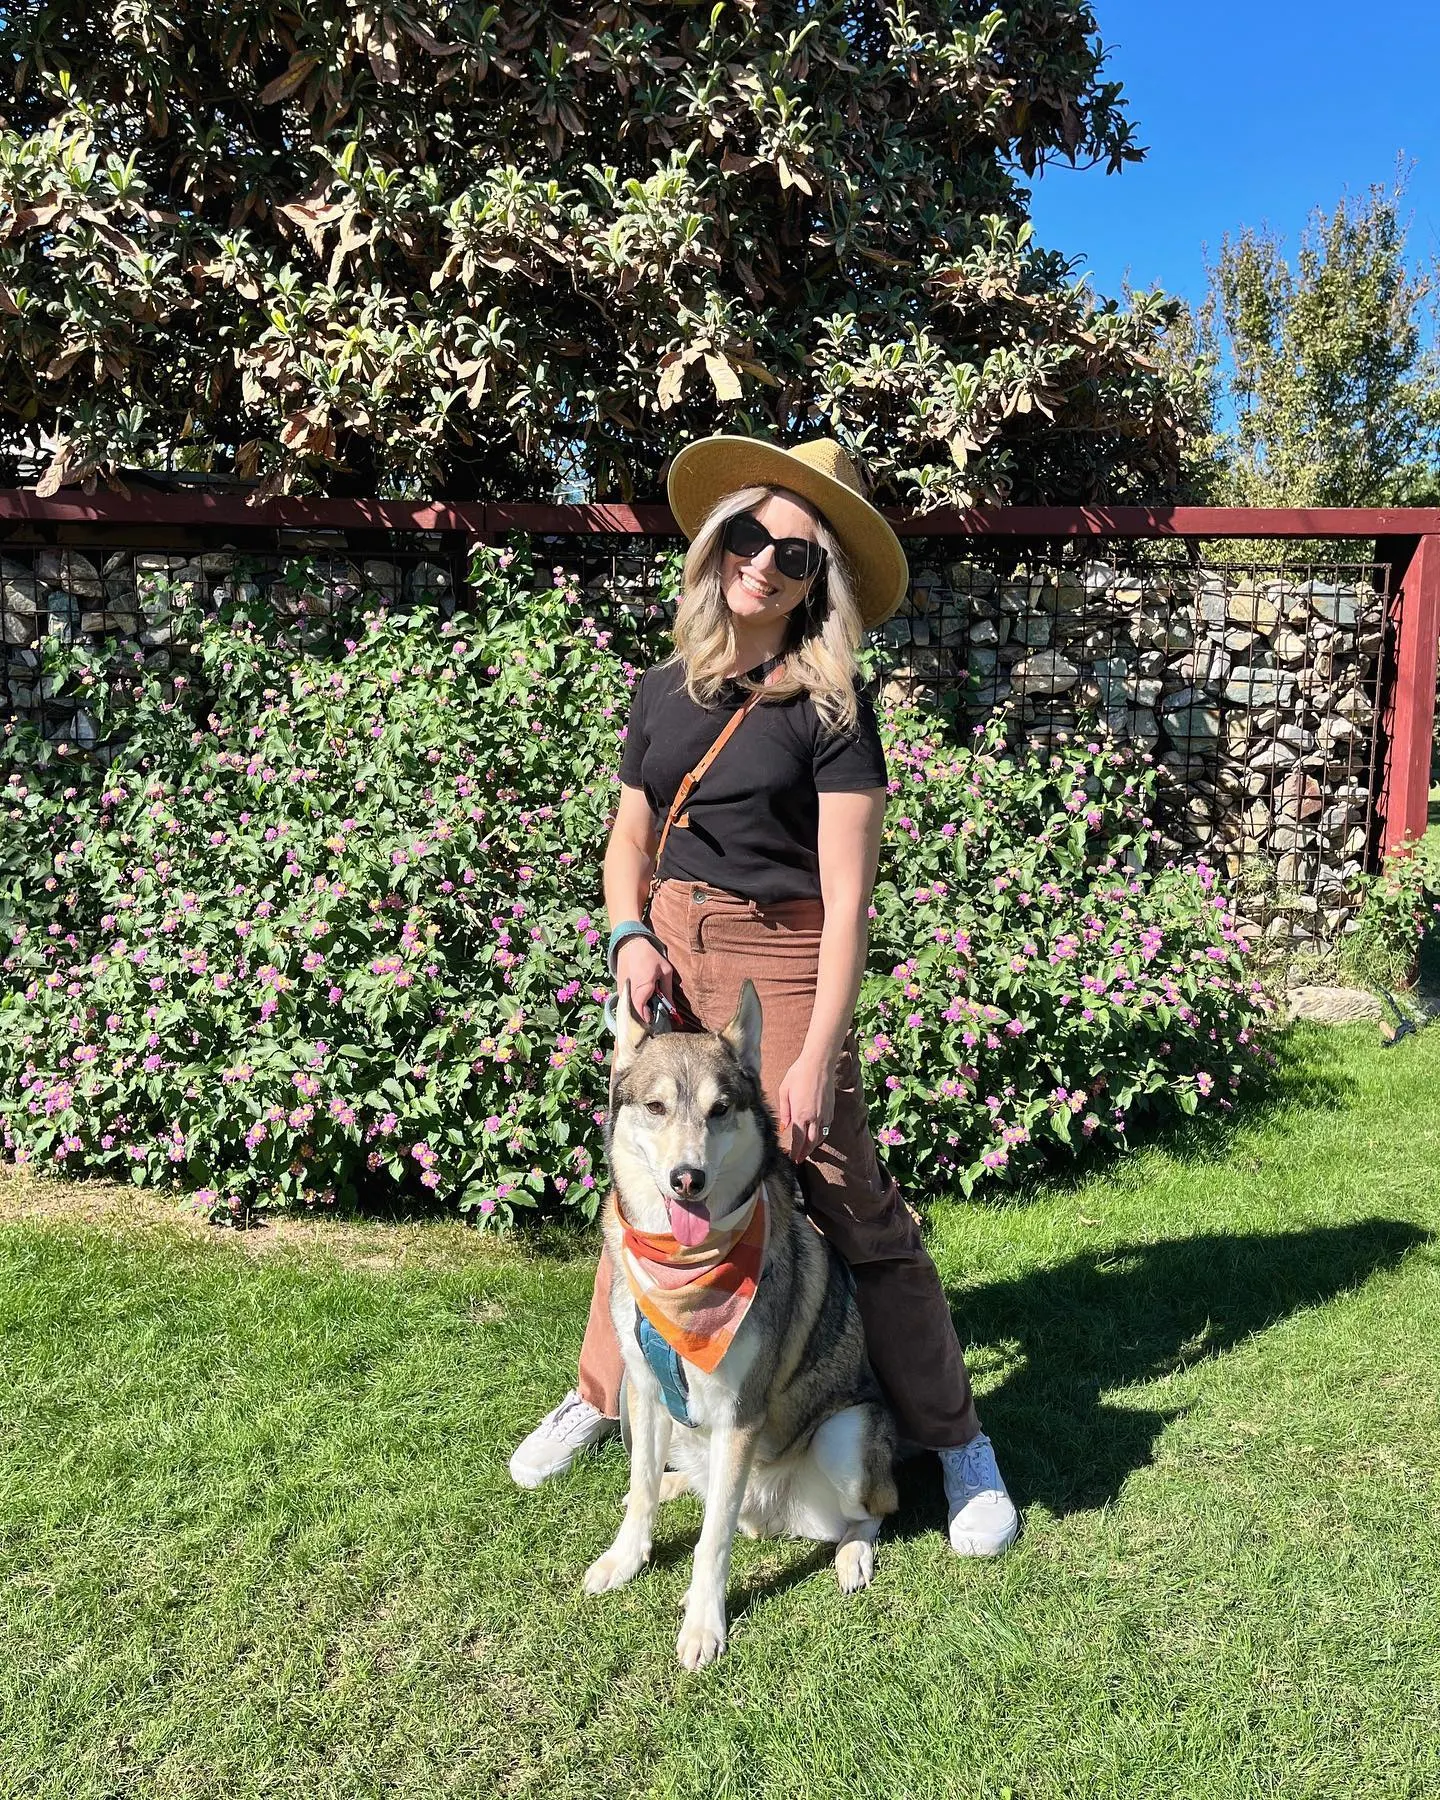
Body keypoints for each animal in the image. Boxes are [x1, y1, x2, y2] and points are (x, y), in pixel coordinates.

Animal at [579, 979, 892, 1663]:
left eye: (721, 1109)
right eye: (655, 1107)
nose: (687, 1179)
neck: (683, 1272)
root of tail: (769, 1513)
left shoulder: (740, 1413)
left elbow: (711, 1539)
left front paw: (703, 1624)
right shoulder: (645, 1388)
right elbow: (642, 1494)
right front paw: (624, 1559)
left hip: (846, 1435)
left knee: (875, 1510)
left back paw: (853, 1555)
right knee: (669, 1478)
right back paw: (674, 1486)